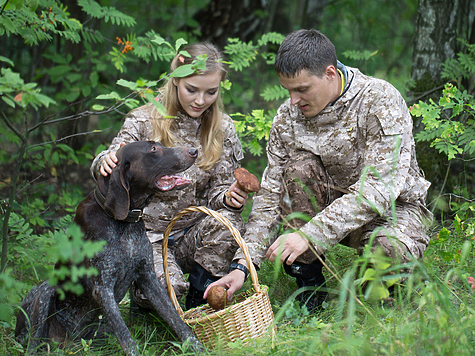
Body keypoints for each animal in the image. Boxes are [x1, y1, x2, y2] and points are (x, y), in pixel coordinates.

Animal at [14, 141, 204, 354]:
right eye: (153, 149)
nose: (194, 151)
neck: (122, 221)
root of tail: (67, 343)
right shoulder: (103, 288)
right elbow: (127, 338)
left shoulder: (148, 278)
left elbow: (176, 320)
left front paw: (198, 348)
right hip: (44, 292)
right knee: (33, 342)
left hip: (102, 332)